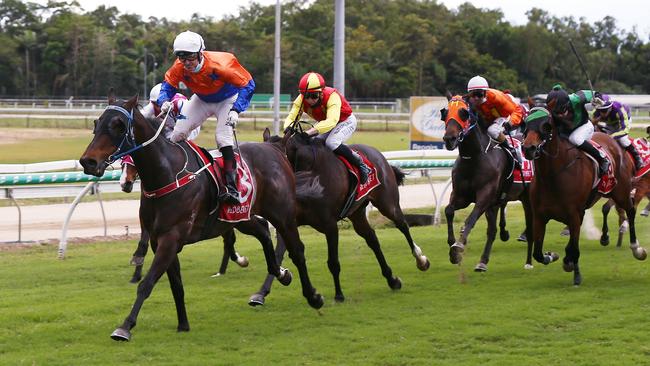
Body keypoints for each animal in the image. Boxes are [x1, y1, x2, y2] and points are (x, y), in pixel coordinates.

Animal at [117, 160, 247, 284]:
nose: (125, 183)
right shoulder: (146, 215)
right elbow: (144, 240)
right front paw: (136, 271)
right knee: (229, 239)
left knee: (230, 238)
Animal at [248, 126, 430, 306]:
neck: (309, 178)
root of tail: (377, 154)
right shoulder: (286, 223)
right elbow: (279, 256)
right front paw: (261, 293)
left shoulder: (329, 225)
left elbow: (333, 262)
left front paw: (339, 295)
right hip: (357, 213)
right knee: (372, 238)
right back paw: (392, 279)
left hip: (387, 203)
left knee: (402, 224)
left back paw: (421, 260)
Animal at [436, 94, 532, 272]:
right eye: (444, 113)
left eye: (464, 113)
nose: (449, 139)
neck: (474, 157)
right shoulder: (461, 196)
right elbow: (449, 210)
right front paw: (452, 246)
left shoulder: (485, 196)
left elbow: (470, 219)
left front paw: (458, 246)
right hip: (498, 202)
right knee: (492, 230)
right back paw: (483, 261)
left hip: (527, 198)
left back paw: (529, 259)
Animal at [520, 107, 644, 284]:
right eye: (526, 123)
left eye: (546, 125)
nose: (528, 148)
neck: (552, 176)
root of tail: (615, 143)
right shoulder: (540, 216)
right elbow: (538, 253)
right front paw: (553, 255)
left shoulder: (573, 215)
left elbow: (574, 248)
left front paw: (575, 274)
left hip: (621, 192)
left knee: (631, 211)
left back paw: (636, 248)